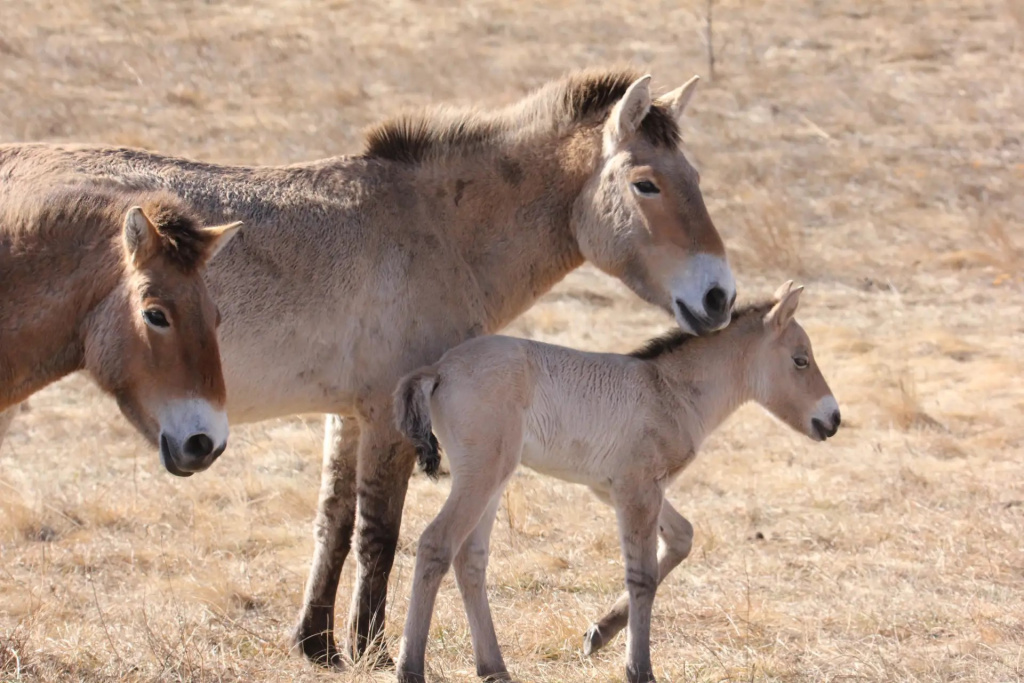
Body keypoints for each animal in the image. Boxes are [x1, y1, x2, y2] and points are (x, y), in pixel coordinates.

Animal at [393, 281, 841, 683]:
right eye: (801, 360)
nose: (833, 419)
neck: (671, 390)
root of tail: (439, 369)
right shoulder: (637, 489)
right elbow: (642, 574)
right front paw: (640, 669)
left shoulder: (617, 487)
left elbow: (682, 537)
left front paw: (600, 633)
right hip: (483, 472)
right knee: (436, 543)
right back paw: (410, 668)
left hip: (493, 475)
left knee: (470, 557)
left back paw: (494, 669)